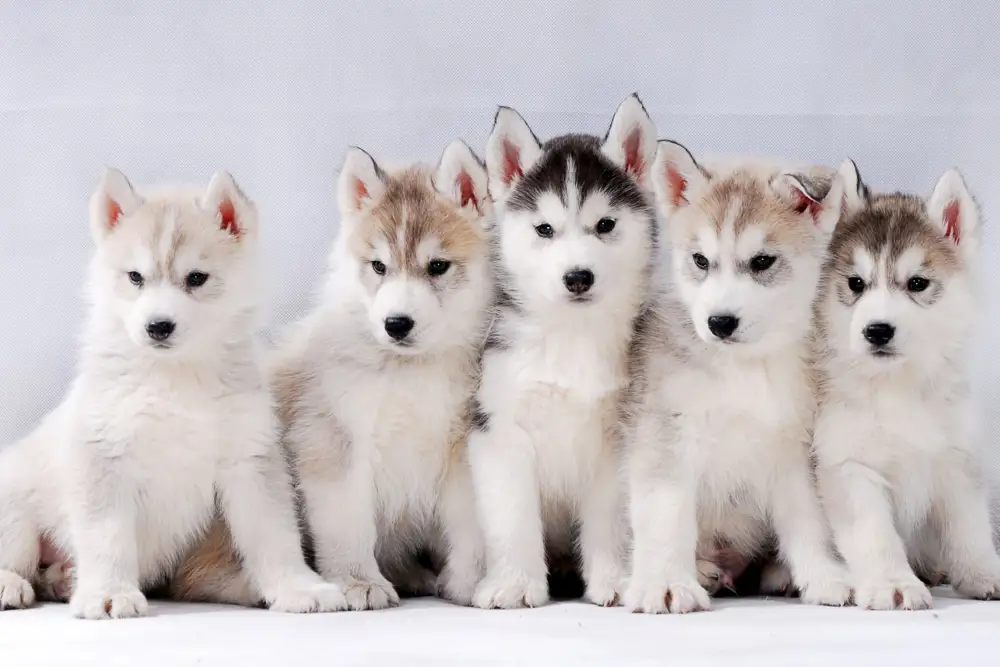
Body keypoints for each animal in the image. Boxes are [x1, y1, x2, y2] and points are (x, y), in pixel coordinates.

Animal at [0, 170, 346, 620]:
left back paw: (63, 578)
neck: (176, 378)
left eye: (196, 278)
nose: (158, 326)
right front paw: (108, 592)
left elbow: (275, 535)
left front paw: (299, 588)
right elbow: (107, 537)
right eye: (135, 277)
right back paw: (13, 584)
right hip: (17, 514)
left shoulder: (249, 459)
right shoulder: (103, 456)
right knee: (18, 558)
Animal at [470, 95, 660, 612]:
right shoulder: (502, 432)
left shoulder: (615, 439)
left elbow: (611, 518)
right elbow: (513, 518)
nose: (578, 277)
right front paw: (516, 584)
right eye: (544, 229)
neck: (573, 337)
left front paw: (614, 579)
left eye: (605, 225)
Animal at [624, 142, 852, 616]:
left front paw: (824, 576)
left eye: (762, 262)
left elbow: (808, 518)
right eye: (700, 261)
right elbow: (668, 516)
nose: (720, 322)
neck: (742, 369)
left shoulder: (792, 450)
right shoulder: (666, 438)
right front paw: (666, 583)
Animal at [812, 163, 1000, 612]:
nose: (877, 330)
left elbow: (971, 529)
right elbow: (876, 536)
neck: (897, 386)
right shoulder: (850, 466)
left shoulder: (956, 459)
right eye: (856, 283)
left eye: (917, 283)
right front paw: (893, 584)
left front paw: (983, 574)